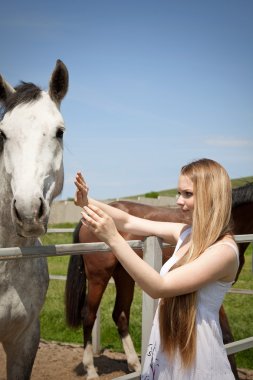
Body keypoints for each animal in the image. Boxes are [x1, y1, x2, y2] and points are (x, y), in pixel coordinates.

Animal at [64, 183, 253, 378]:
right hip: (99, 276)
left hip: (124, 275)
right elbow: (226, 336)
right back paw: (91, 369)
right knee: (88, 315)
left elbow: (226, 335)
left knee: (120, 315)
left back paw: (136, 365)